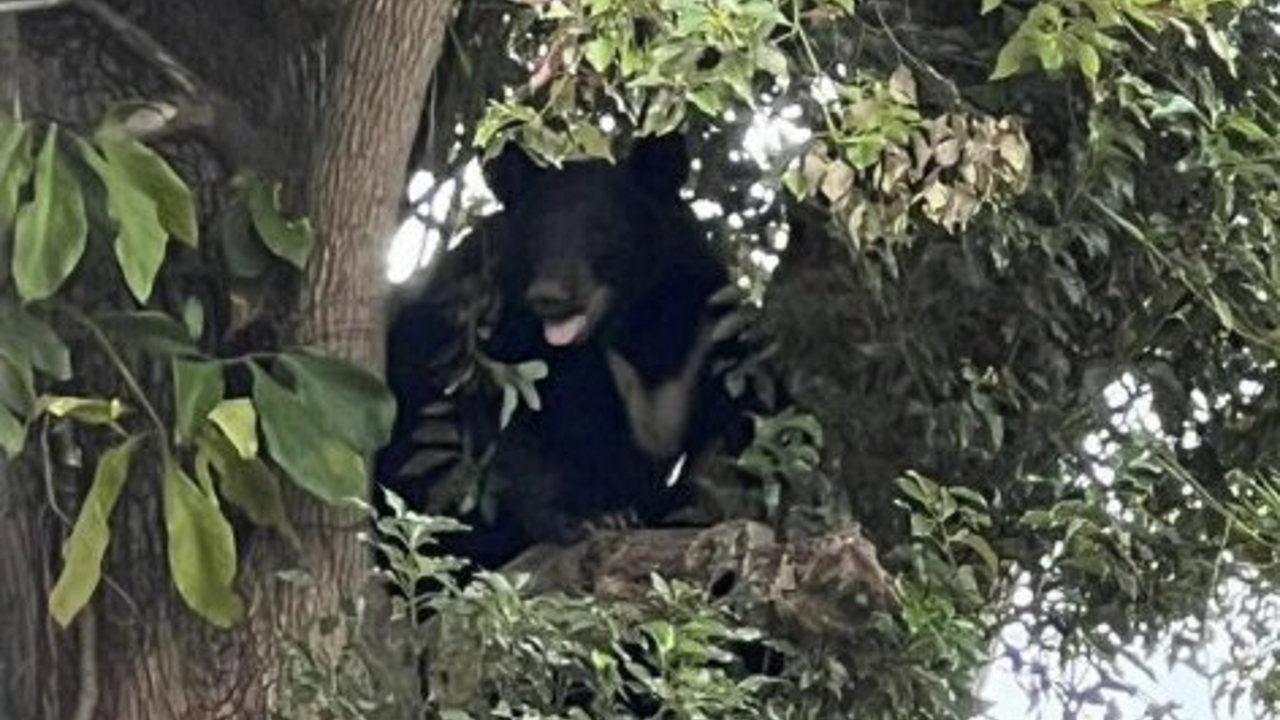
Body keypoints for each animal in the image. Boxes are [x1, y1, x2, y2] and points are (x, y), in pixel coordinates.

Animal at [373, 134, 737, 566]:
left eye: (602, 229)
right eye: (536, 233)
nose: (548, 297)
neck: (626, 327)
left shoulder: (705, 326)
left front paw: (683, 504)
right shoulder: (482, 326)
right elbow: (506, 429)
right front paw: (589, 517)